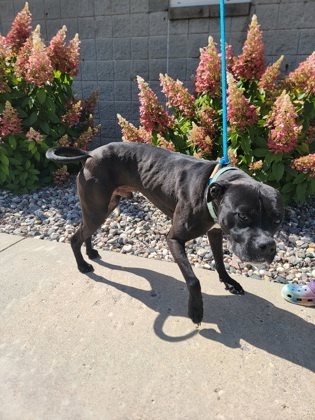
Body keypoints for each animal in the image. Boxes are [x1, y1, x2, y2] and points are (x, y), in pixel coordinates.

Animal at [46, 143, 284, 324]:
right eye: (243, 215)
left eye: (277, 220)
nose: (267, 246)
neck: (214, 186)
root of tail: (90, 154)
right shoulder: (174, 239)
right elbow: (193, 280)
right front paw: (195, 311)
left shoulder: (215, 232)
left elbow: (219, 261)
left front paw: (228, 282)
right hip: (96, 210)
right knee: (75, 237)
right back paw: (82, 265)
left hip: (103, 208)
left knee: (85, 231)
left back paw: (91, 252)